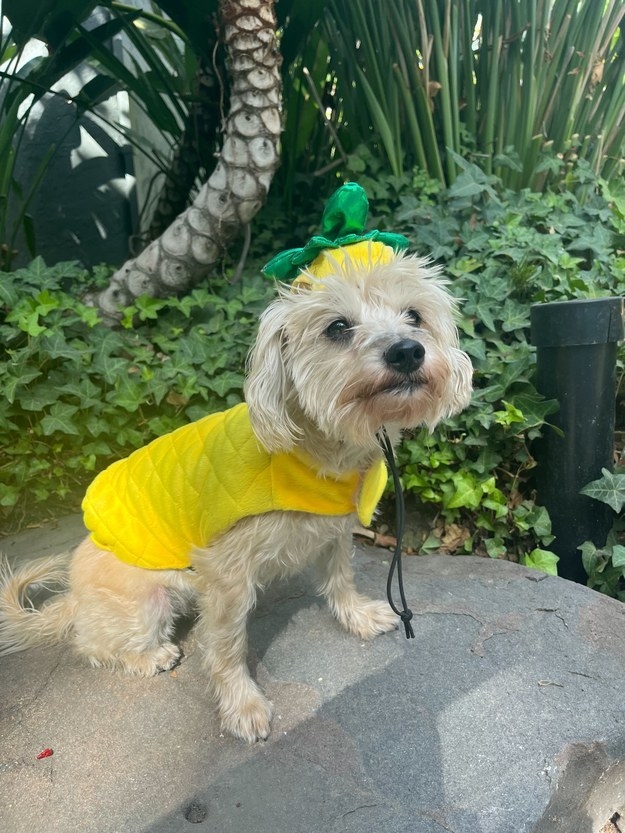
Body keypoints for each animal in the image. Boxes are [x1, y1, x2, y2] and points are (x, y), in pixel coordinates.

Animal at [0, 195, 470, 740]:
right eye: (337, 327)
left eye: (414, 316)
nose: (408, 350)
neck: (319, 449)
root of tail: (74, 598)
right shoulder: (225, 577)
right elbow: (225, 646)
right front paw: (242, 705)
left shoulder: (334, 533)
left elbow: (339, 578)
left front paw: (356, 616)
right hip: (144, 603)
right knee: (92, 645)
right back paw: (148, 656)